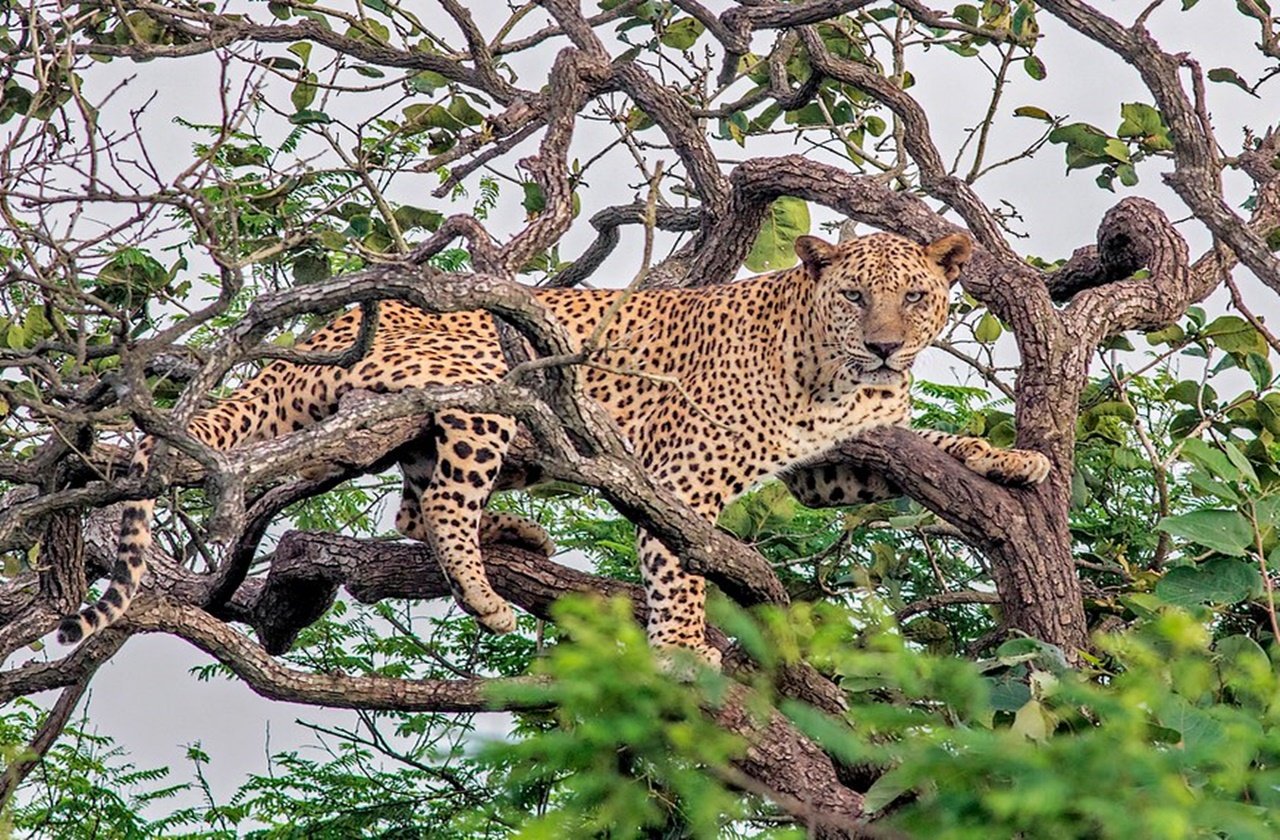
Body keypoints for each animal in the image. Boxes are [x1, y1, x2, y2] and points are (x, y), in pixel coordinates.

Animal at [57, 229, 1049, 660]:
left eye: (914, 296)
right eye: (853, 296)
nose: (885, 345)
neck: (838, 374)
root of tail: (325, 327)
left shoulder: (826, 464)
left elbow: (933, 439)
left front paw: (1015, 457)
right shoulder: (683, 475)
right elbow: (680, 565)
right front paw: (684, 644)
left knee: (410, 503)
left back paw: (516, 539)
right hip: (482, 384)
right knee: (443, 501)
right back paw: (487, 589)